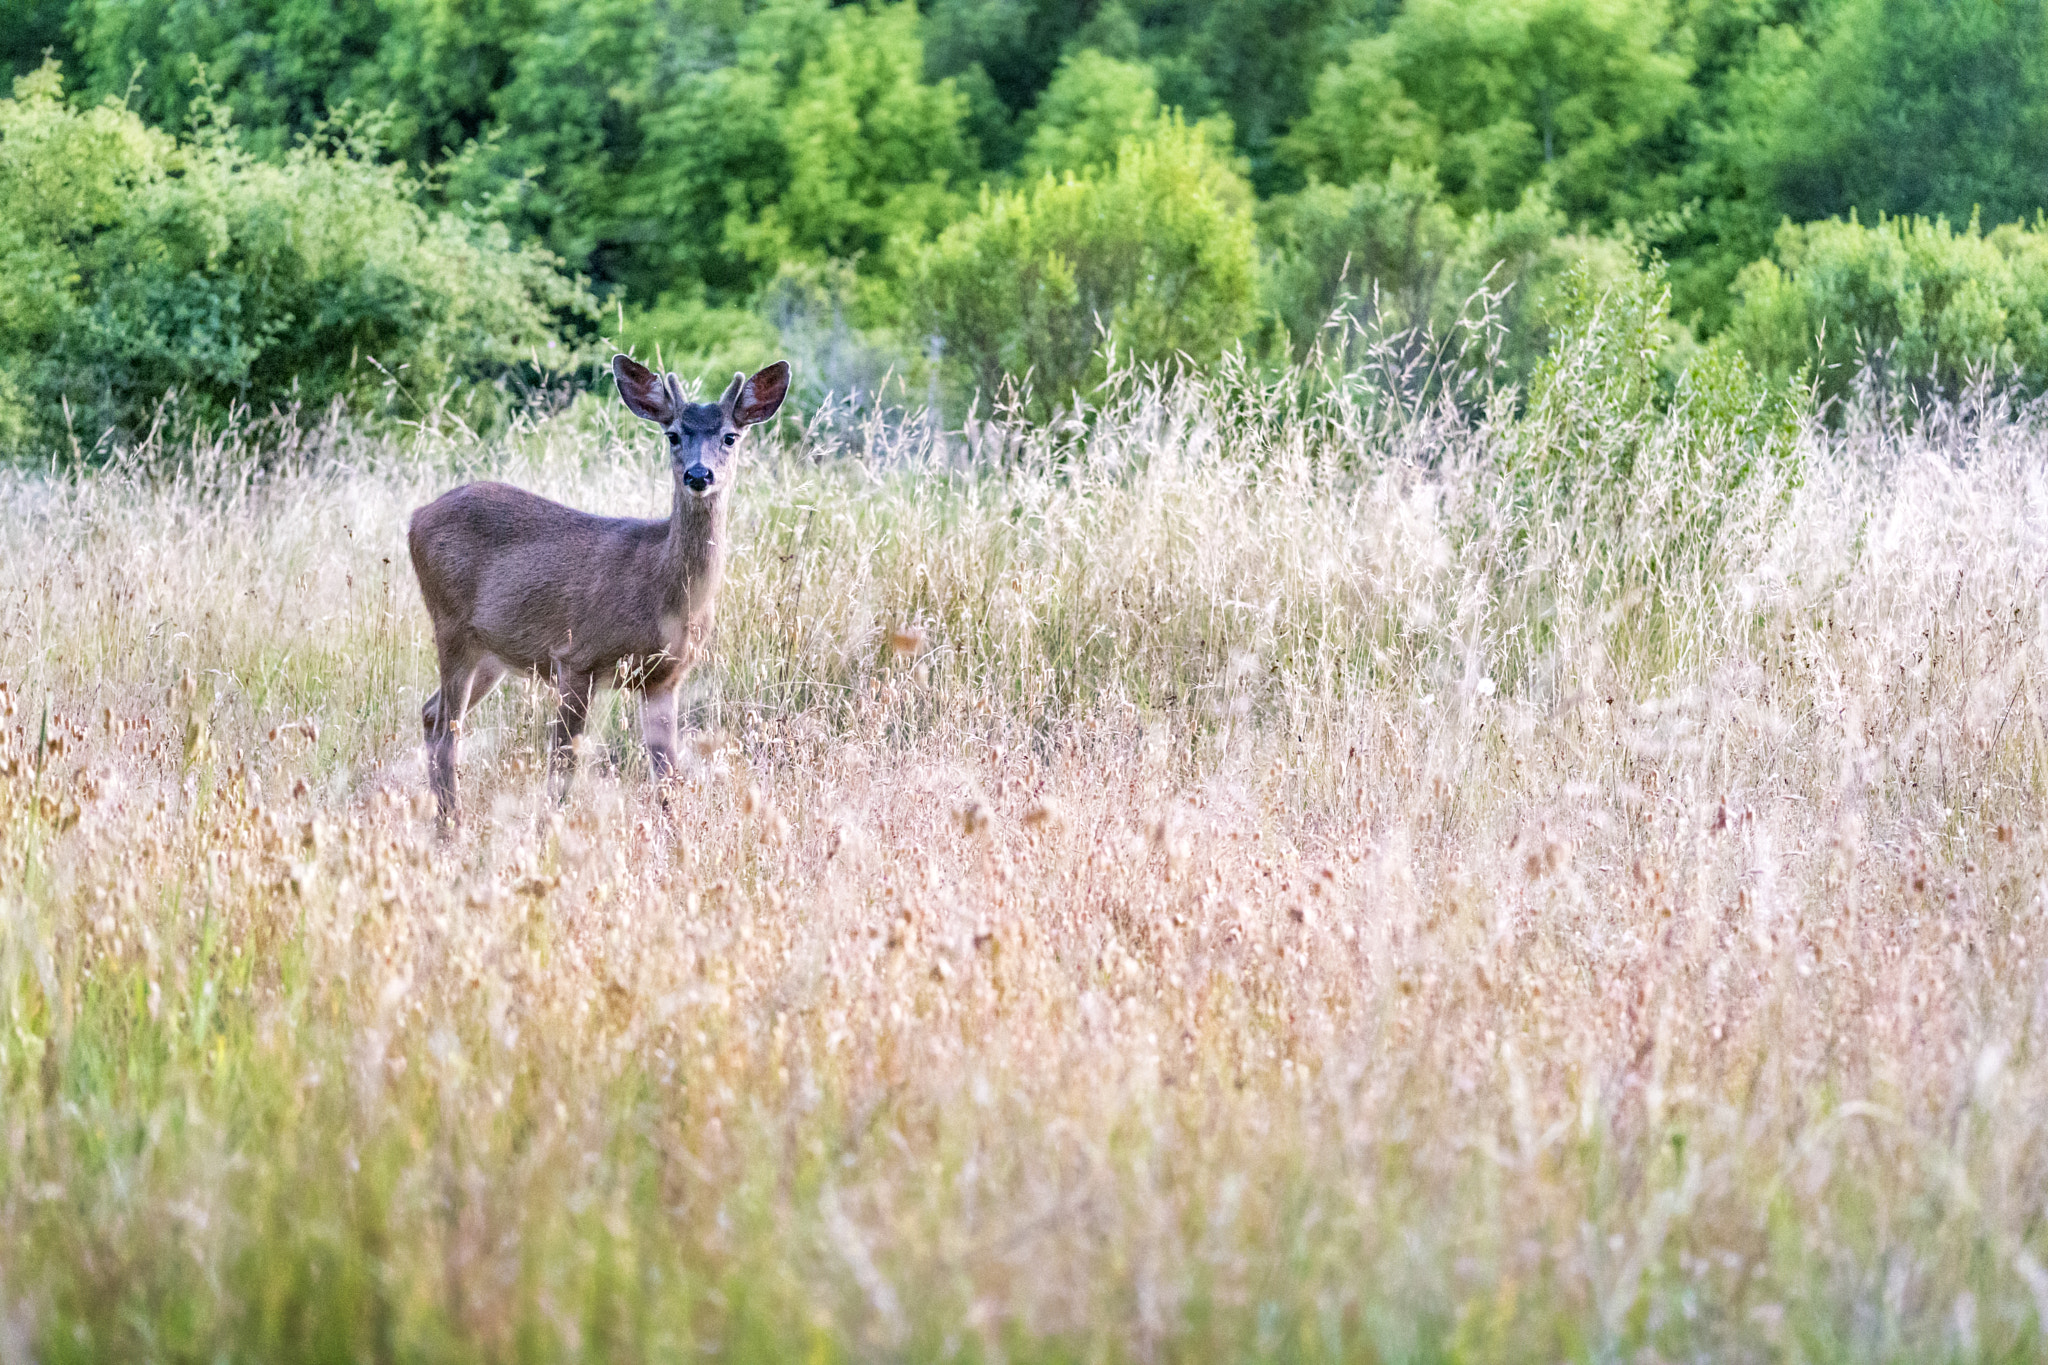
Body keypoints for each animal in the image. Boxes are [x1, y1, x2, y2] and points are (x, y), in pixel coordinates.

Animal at [407, 354, 791, 827]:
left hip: (491, 652)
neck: (663, 591)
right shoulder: (576, 658)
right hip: (450, 625)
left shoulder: (665, 678)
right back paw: (452, 825)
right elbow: (563, 766)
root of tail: (416, 518)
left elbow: (667, 777)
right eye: (673, 434)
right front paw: (551, 831)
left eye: (730, 437)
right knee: (447, 728)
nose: (699, 474)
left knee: (430, 714)